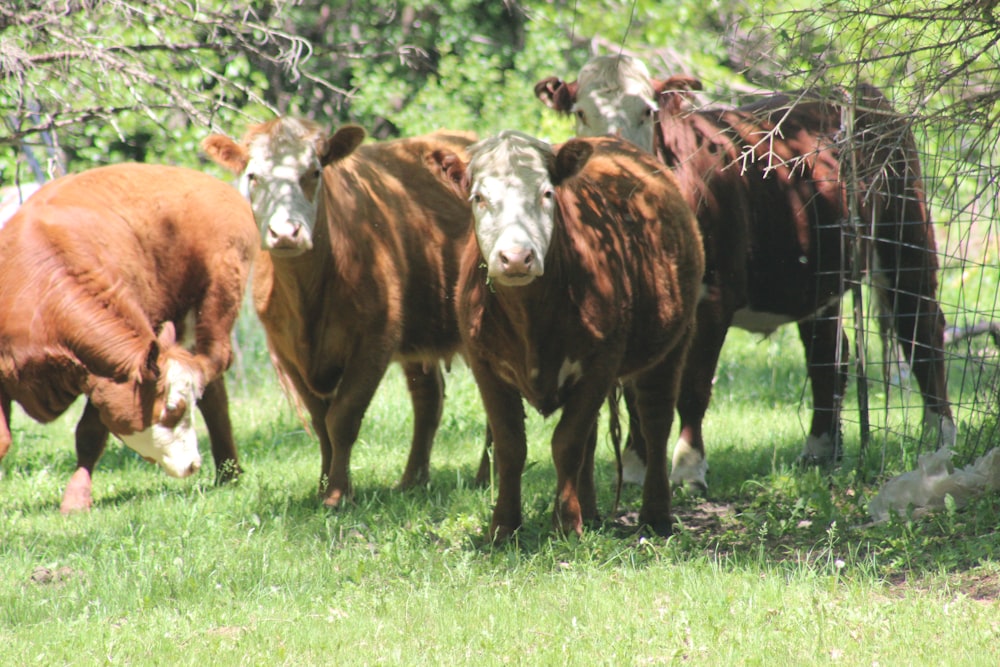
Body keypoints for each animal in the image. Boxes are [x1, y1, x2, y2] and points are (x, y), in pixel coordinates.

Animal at [0, 164, 258, 516]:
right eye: (173, 408)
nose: (192, 464)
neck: (43, 295)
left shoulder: (105, 377)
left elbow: (90, 434)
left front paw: (76, 500)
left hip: (215, 305)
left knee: (215, 380)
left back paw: (228, 472)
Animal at [201, 118, 474, 506]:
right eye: (253, 176)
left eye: (314, 172)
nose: (285, 233)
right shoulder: (286, 351)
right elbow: (320, 423)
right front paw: (321, 487)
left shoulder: (375, 340)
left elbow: (342, 419)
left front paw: (338, 494)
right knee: (428, 399)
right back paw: (412, 480)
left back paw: (485, 475)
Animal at [434, 132, 708, 544]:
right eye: (478, 197)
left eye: (547, 193)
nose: (516, 257)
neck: (530, 316)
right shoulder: (483, 364)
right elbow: (512, 445)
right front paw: (504, 527)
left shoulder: (603, 359)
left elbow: (567, 442)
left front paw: (565, 525)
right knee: (595, 434)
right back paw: (591, 511)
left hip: (675, 341)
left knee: (655, 420)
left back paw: (655, 516)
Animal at [536, 54, 956, 490]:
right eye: (581, 113)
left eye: (647, 111)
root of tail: (864, 94)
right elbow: (638, 390)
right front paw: (637, 466)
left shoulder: (714, 297)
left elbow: (693, 387)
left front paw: (689, 467)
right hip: (819, 272)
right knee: (829, 356)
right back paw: (820, 448)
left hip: (905, 234)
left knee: (921, 330)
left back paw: (939, 435)